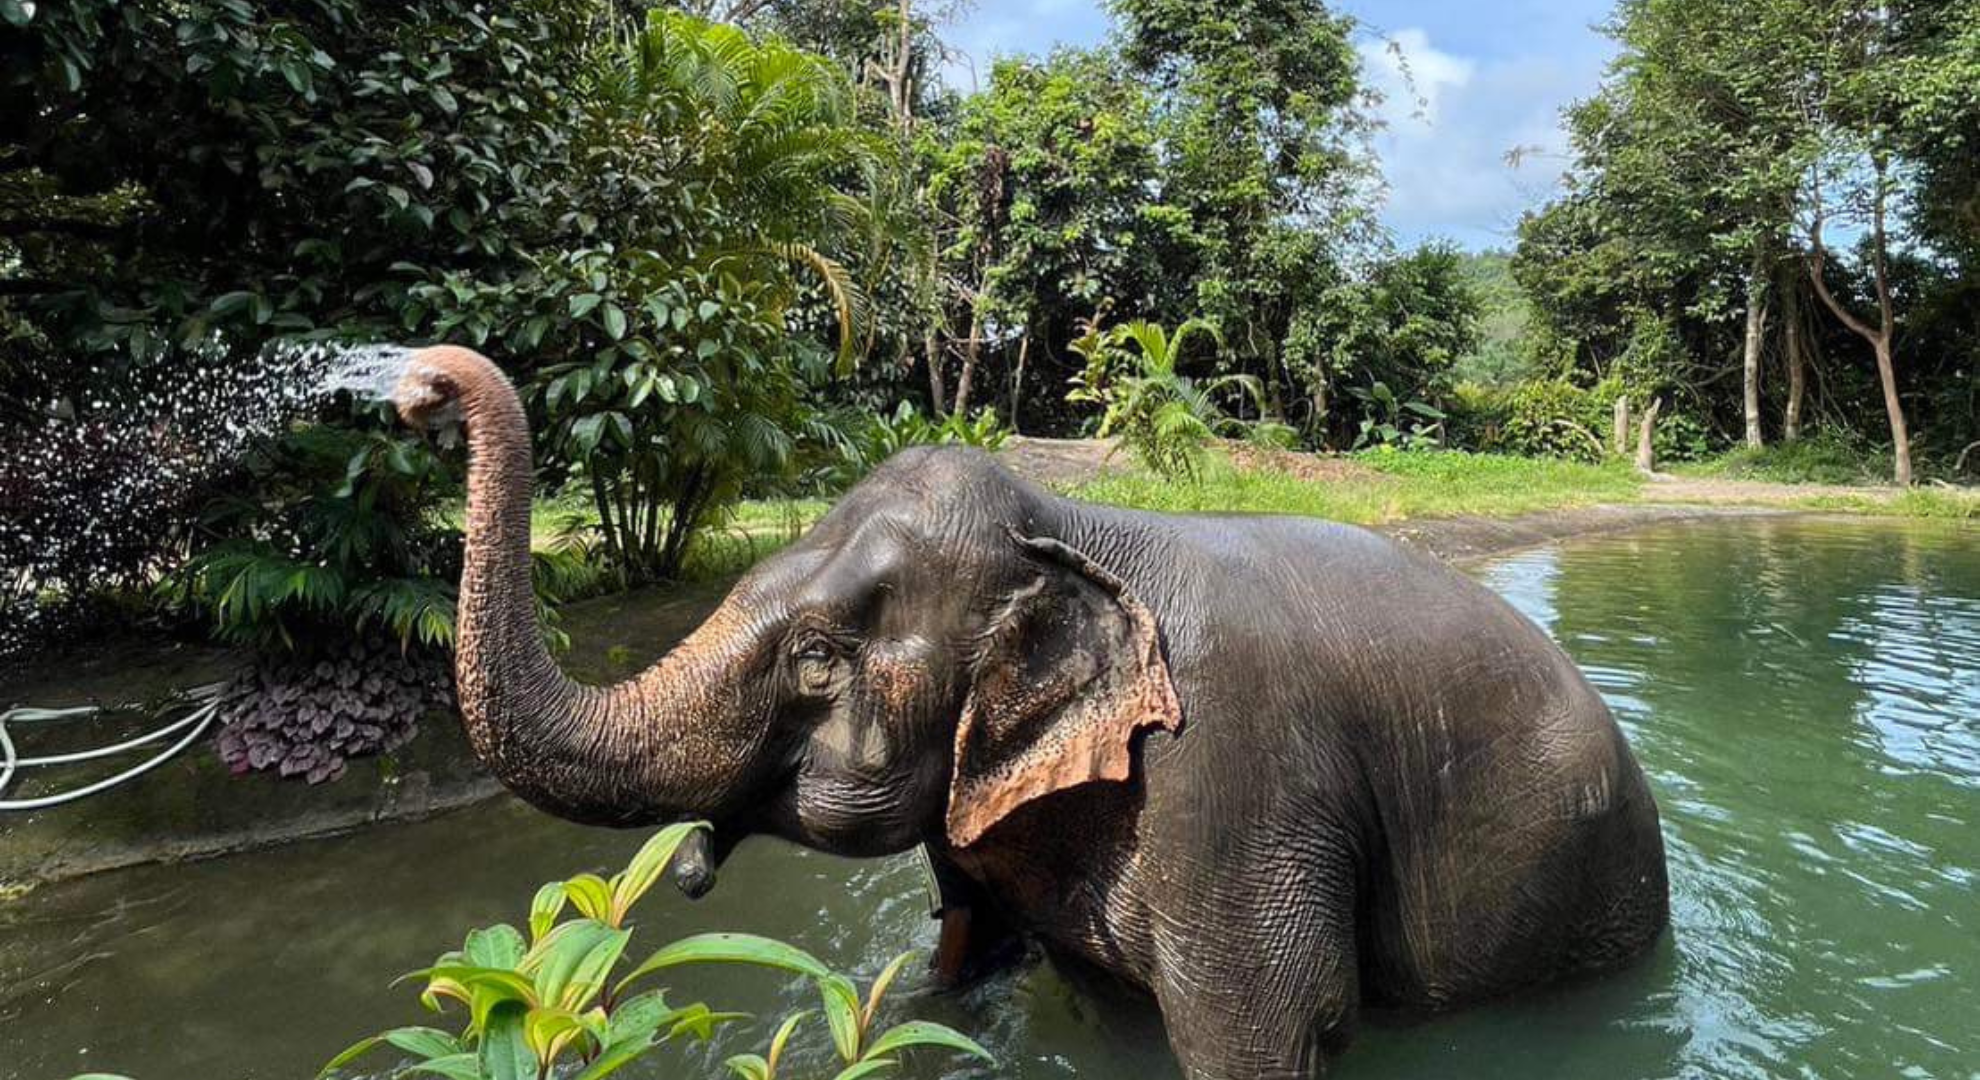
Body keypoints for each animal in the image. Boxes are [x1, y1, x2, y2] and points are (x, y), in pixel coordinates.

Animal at [393, 346, 1670, 1079]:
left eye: (817, 660)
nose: (415, 388)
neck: (1073, 523)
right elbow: (964, 956)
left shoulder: (1237, 793)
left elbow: (1267, 1032)